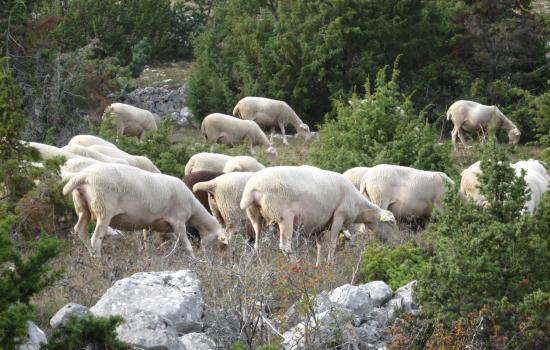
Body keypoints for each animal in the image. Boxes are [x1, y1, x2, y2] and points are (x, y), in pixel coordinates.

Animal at [62, 163, 229, 258]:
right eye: (223, 245)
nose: (221, 263)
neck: (194, 208)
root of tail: (83, 176)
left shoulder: (149, 224)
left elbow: (146, 241)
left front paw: (148, 257)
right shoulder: (178, 221)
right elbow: (187, 246)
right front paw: (194, 261)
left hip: (83, 208)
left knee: (80, 229)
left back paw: (90, 255)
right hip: (104, 210)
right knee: (96, 239)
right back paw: (98, 261)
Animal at [240, 165, 396, 264]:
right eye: (392, 223)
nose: (396, 243)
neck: (359, 207)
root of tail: (252, 189)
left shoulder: (319, 226)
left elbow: (320, 246)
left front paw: (318, 265)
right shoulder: (339, 216)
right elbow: (332, 244)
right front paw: (329, 264)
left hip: (255, 216)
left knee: (257, 244)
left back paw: (261, 266)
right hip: (284, 217)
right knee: (285, 246)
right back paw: (295, 265)